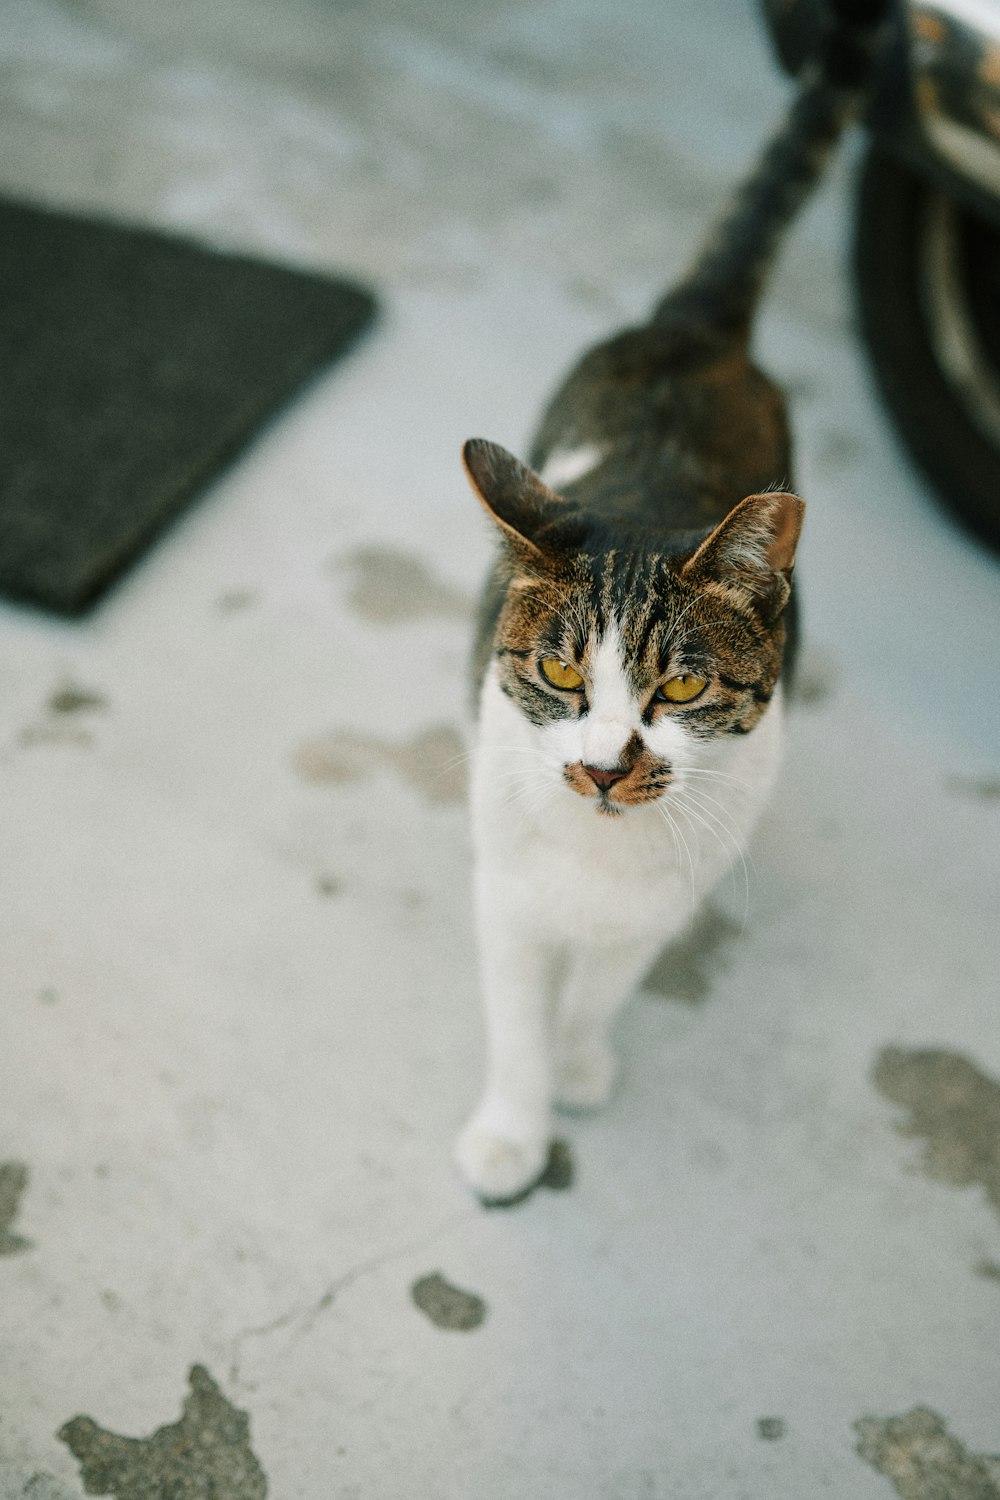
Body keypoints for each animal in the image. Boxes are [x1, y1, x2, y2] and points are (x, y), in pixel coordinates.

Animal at [452, 0, 881, 1200]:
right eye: (559, 672)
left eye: (681, 688)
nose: (605, 767)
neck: (601, 854)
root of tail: (698, 325)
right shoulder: (507, 889)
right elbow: (514, 1014)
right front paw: (513, 1131)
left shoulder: (667, 898)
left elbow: (603, 987)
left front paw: (582, 1062)